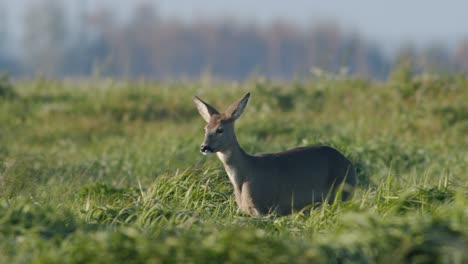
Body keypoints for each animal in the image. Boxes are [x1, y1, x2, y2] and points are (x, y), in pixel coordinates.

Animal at [194, 92, 354, 216]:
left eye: (220, 129)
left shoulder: (265, 207)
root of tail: (349, 163)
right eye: (205, 129)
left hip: (343, 192)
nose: (204, 147)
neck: (247, 171)